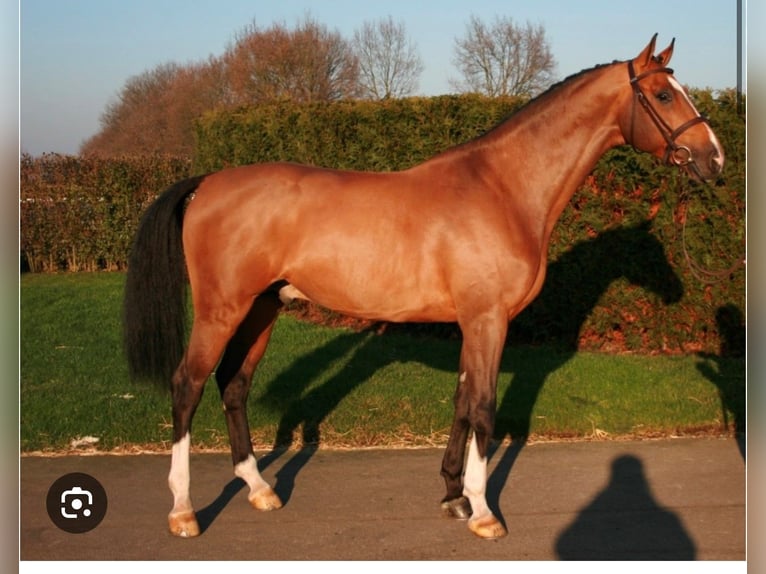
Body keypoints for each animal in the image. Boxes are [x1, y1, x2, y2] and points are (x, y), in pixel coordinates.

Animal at [121, 35, 728, 540]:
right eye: (662, 94)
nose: (715, 159)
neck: (503, 188)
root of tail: (206, 183)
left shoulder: (473, 323)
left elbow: (462, 401)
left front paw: (453, 496)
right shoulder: (488, 319)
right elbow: (483, 406)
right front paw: (483, 513)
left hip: (261, 311)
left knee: (234, 385)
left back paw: (260, 489)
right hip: (221, 311)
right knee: (187, 385)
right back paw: (184, 512)